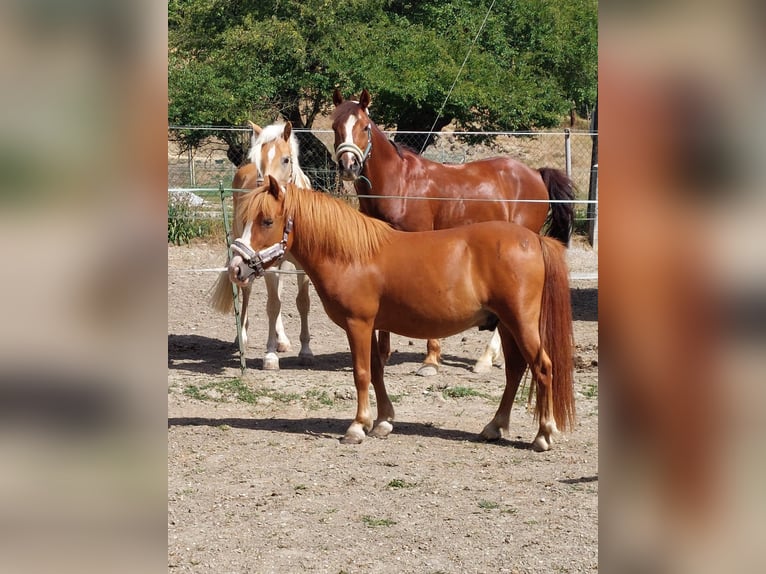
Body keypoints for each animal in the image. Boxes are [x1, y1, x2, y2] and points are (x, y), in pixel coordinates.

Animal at [210, 120, 314, 370]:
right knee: (246, 292)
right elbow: (273, 305)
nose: (265, 189)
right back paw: (242, 337)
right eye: (259, 159)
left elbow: (301, 302)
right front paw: (270, 355)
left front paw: (305, 350)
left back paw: (282, 339)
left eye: (285, 159)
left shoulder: (301, 268)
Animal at [226, 175, 575, 451]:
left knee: (543, 367)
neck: (352, 255)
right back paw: (495, 426)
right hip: (505, 324)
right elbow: (377, 370)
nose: (236, 268)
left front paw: (357, 427)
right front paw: (383, 421)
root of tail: (535, 239)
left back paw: (543, 435)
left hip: (521, 323)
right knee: (515, 370)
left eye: (266, 221)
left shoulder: (358, 324)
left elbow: (361, 373)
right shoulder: (372, 326)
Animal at [331, 89, 575, 376]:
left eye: (364, 126)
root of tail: (535, 173)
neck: (399, 183)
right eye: (335, 126)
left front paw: (430, 360)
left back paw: (486, 358)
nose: (348, 166)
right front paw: (381, 355)